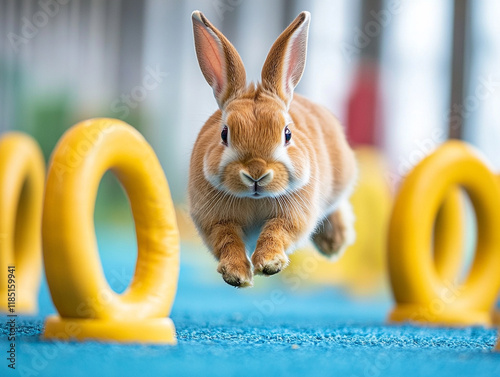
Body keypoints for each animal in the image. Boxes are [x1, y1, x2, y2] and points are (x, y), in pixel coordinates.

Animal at [189, 11, 358, 288]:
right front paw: (236, 274)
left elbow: (277, 232)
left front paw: (269, 264)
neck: (255, 199)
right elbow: (227, 240)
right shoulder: (215, 220)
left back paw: (334, 242)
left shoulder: (294, 214)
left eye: (287, 133)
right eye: (224, 134)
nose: (256, 174)